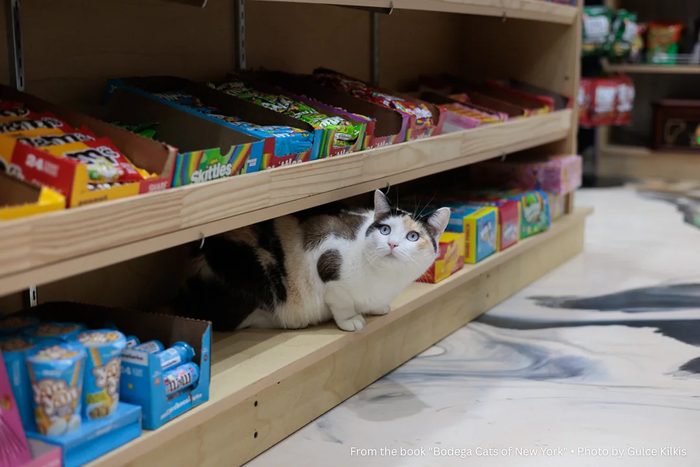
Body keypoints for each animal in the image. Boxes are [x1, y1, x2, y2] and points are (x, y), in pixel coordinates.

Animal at [174, 190, 450, 332]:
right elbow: (341, 303)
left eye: (413, 236)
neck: (385, 279)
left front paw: (377, 307)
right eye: (385, 230)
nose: (392, 244)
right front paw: (351, 320)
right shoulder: (328, 261)